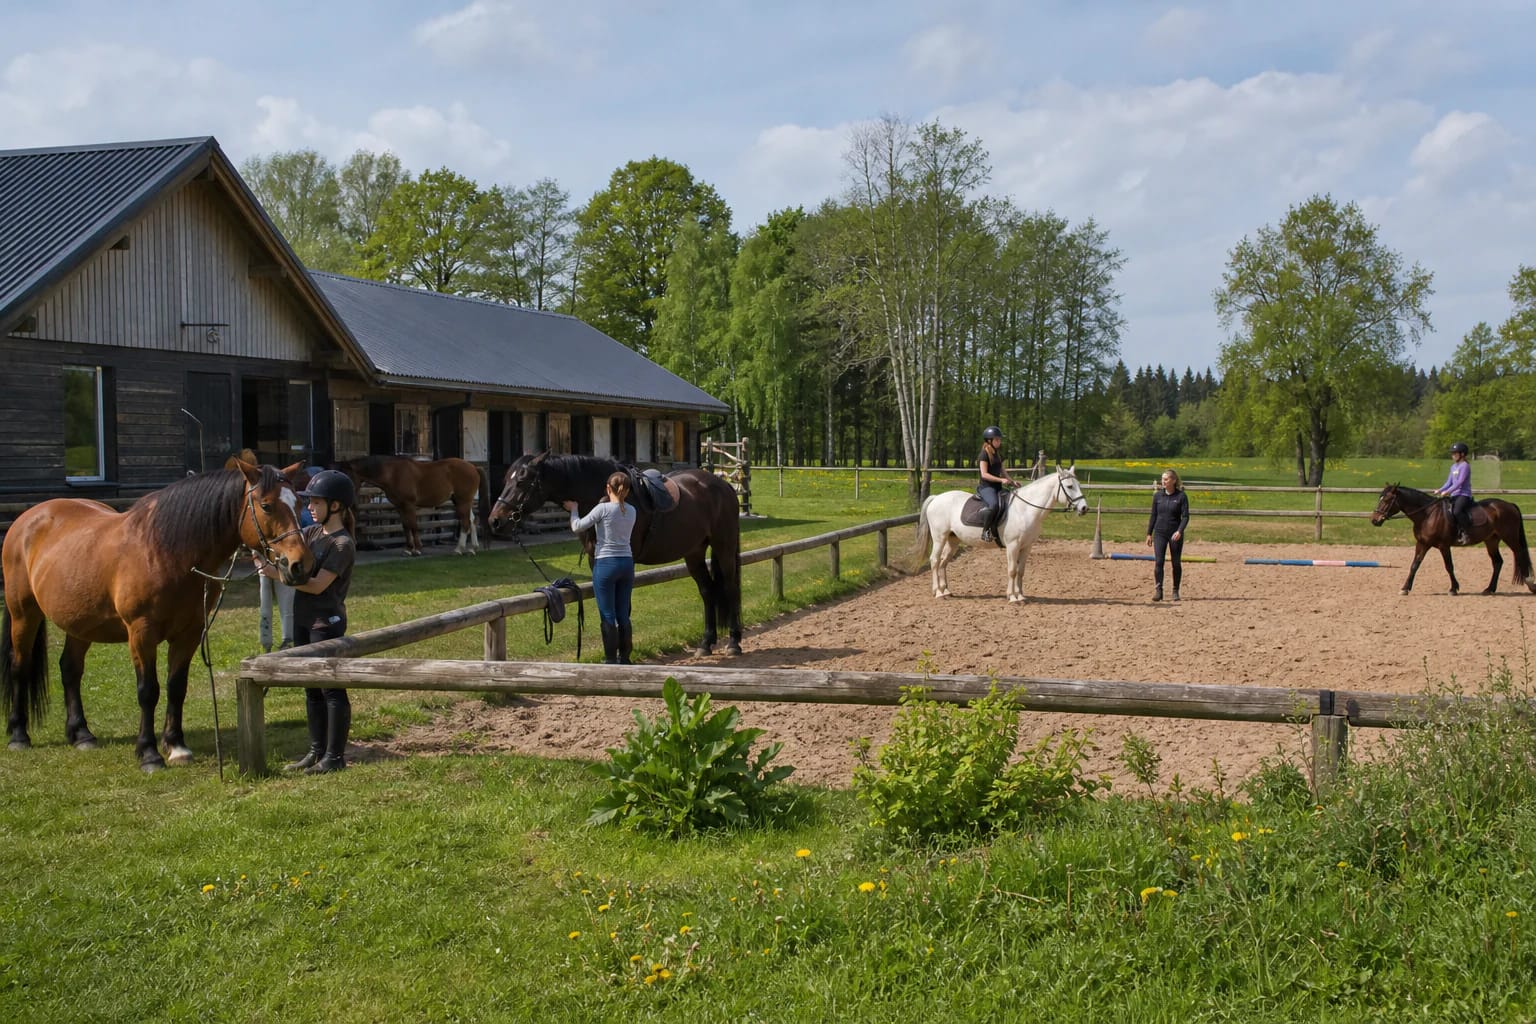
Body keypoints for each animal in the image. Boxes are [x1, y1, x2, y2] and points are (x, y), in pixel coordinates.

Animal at [2, 463, 313, 771]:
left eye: (298, 504)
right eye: (266, 505)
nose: (300, 565)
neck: (167, 553)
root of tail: (28, 518)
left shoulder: (189, 634)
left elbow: (177, 687)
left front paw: (176, 746)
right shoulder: (141, 634)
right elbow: (148, 691)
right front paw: (149, 753)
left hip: (80, 622)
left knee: (70, 669)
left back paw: (81, 734)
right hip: (23, 614)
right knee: (19, 665)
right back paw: (18, 735)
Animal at [333, 455, 491, 556]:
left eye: (347, 476)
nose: (346, 499)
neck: (393, 473)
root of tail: (473, 467)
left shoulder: (409, 505)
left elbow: (413, 525)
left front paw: (417, 549)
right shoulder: (400, 506)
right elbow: (405, 526)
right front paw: (408, 549)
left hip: (463, 501)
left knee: (465, 523)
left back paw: (459, 549)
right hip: (461, 501)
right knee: (472, 520)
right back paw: (473, 548)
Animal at [488, 451, 744, 655]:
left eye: (522, 481)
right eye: (507, 479)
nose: (495, 521)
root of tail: (724, 486)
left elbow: (623, 607)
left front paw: (624, 653)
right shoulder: (596, 560)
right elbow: (607, 607)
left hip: (723, 546)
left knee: (730, 587)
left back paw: (733, 642)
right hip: (694, 552)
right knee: (708, 591)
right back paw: (706, 643)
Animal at [912, 466, 1089, 603]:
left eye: (1078, 485)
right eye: (1069, 486)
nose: (1084, 508)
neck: (1025, 510)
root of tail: (936, 498)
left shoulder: (1027, 546)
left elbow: (1021, 571)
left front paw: (1021, 596)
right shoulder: (1013, 545)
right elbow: (1012, 570)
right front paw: (1012, 597)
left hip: (953, 540)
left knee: (943, 562)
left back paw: (946, 590)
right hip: (939, 538)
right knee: (935, 561)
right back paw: (938, 592)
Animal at [1370, 482, 1535, 596]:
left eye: (1387, 500)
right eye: (1380, 498)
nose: (1375, 520)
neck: (1427, 515)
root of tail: (1510, 505)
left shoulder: (1444, 545)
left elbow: (1449, 566)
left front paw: (1453, 588)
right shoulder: (1422, 544)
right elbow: (1414, 565)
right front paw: (1405, 588)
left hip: (1510, 537)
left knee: (1520, 555)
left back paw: (1530, 584)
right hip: (1491, 540)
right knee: (1498, 562)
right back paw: (1489, 589)